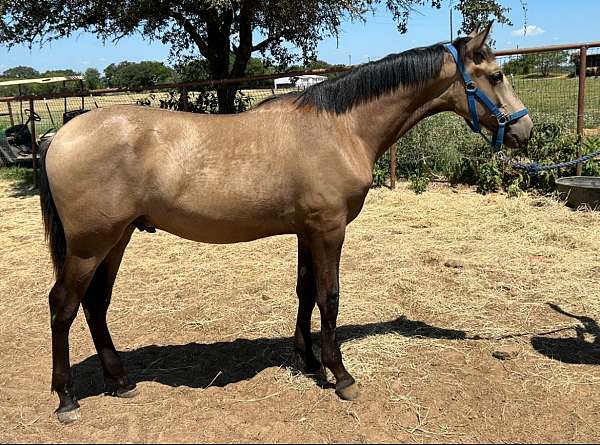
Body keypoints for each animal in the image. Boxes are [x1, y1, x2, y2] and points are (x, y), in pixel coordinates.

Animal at [39, 25, 532, 424]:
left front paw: (308, 360)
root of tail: (58, 135)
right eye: (495, 75)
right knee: (63, 306)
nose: (524, 131)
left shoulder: (307, 231)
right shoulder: (330, 230)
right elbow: (329, 297)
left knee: (96, 304)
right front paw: (340, 374)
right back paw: (66, 400)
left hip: (116, 239)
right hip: (90, 245)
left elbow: (305, 290)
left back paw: (121, 381)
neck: (339, 128)